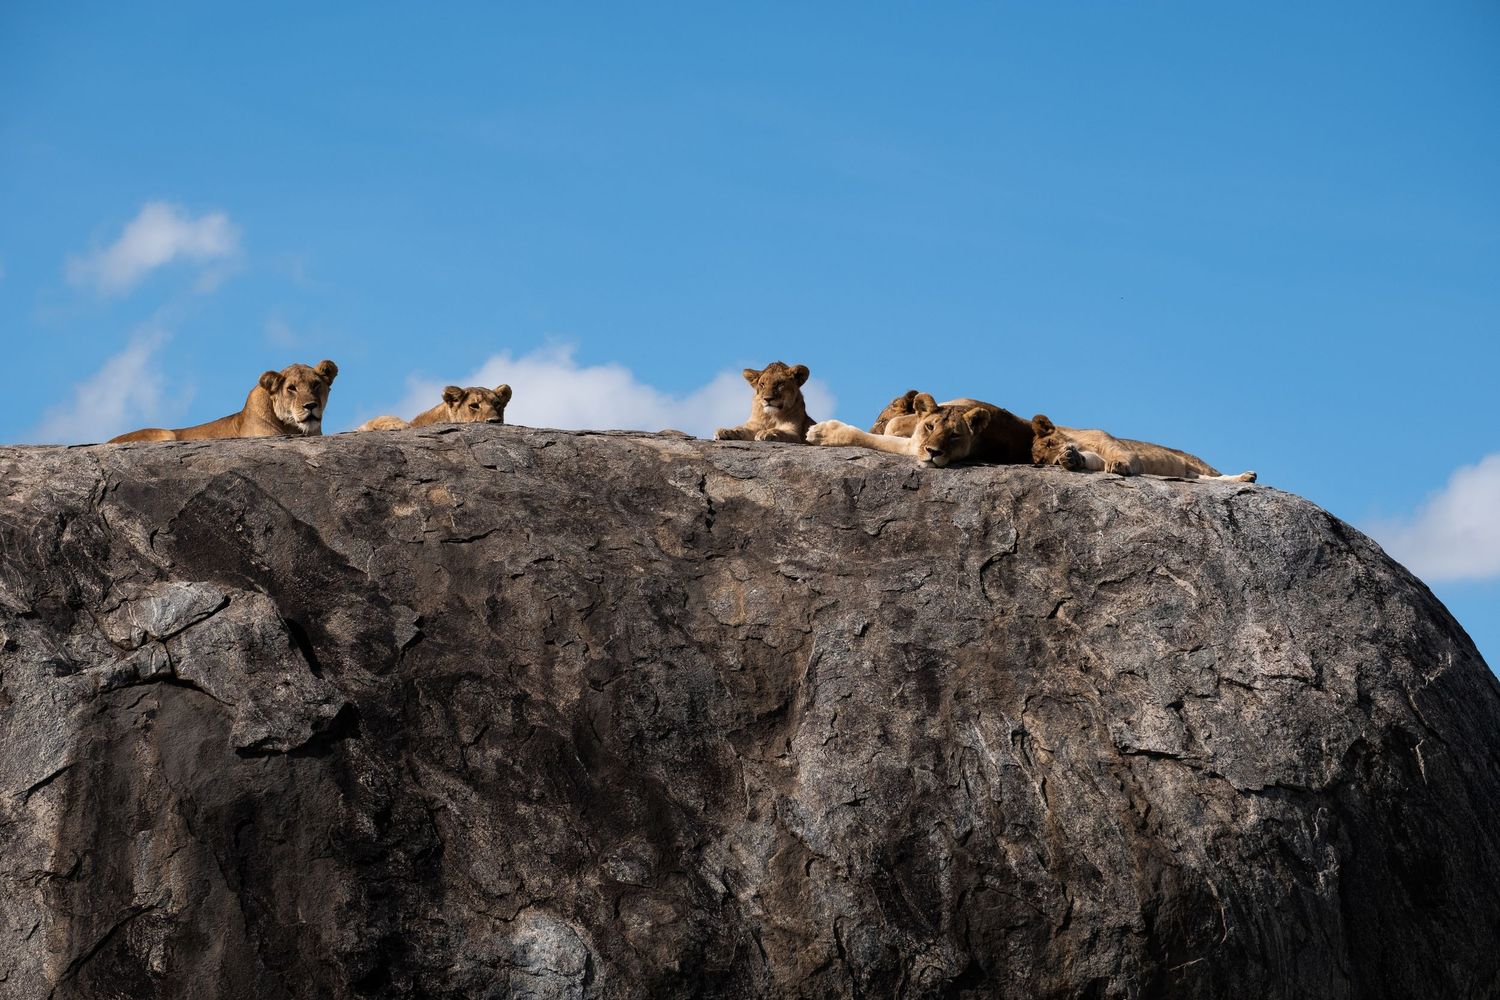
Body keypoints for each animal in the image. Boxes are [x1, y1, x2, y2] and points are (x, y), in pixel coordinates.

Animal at [808, 391, 1033, 467]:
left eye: (955, 435)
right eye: (930, 426)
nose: (933, 452)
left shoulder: (913, 445)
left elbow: (866, 437)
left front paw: (821, 432)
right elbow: (894, 424)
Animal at [1030, 414, 1256, 482]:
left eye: (1050, 443)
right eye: (1043, 462)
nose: (1056, 461)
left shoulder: (1117, 447)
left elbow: (1119, 457)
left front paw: (1119, 465)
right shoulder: (1097, 460)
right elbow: (1091, 461)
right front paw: (1071, 459)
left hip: (1199, 464)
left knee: (1219, 476)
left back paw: (1247, 477)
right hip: (1193, 474)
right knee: (1212, 480)